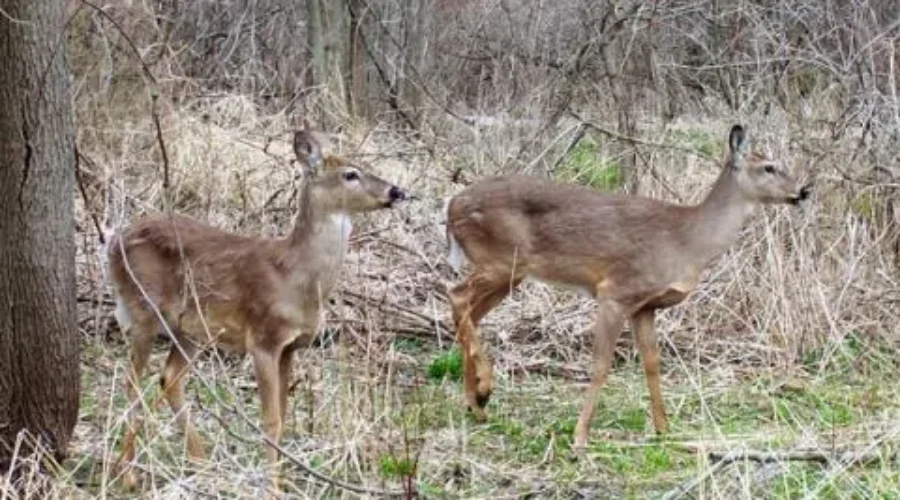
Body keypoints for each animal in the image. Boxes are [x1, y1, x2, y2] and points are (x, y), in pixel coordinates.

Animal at [106, 122, 408, 492]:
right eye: (350, 174)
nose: (396, 191)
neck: (295, 276)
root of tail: (114, 243)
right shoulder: (263, 339)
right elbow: (271, 419)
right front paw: (273, 487)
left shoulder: (291, 346)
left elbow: (285, 414)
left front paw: (283, 479)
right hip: (143, 309)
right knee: (132, 383)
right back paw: (128, 474)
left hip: (191, 329)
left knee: (170, 378)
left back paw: (200, 462)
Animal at [444, 124, 811, 448]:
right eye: (769, 166)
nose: (803, 191)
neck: (687, 241)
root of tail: (451, 207)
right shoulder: (616, 292)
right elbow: (600, 365)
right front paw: (580, 436)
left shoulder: (645, 306)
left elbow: (652, 364)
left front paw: (663, 429)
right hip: (502, 260)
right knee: (457, 296)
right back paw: (485, 388)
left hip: (511, 273)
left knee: (470, 313)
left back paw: (475, 403)